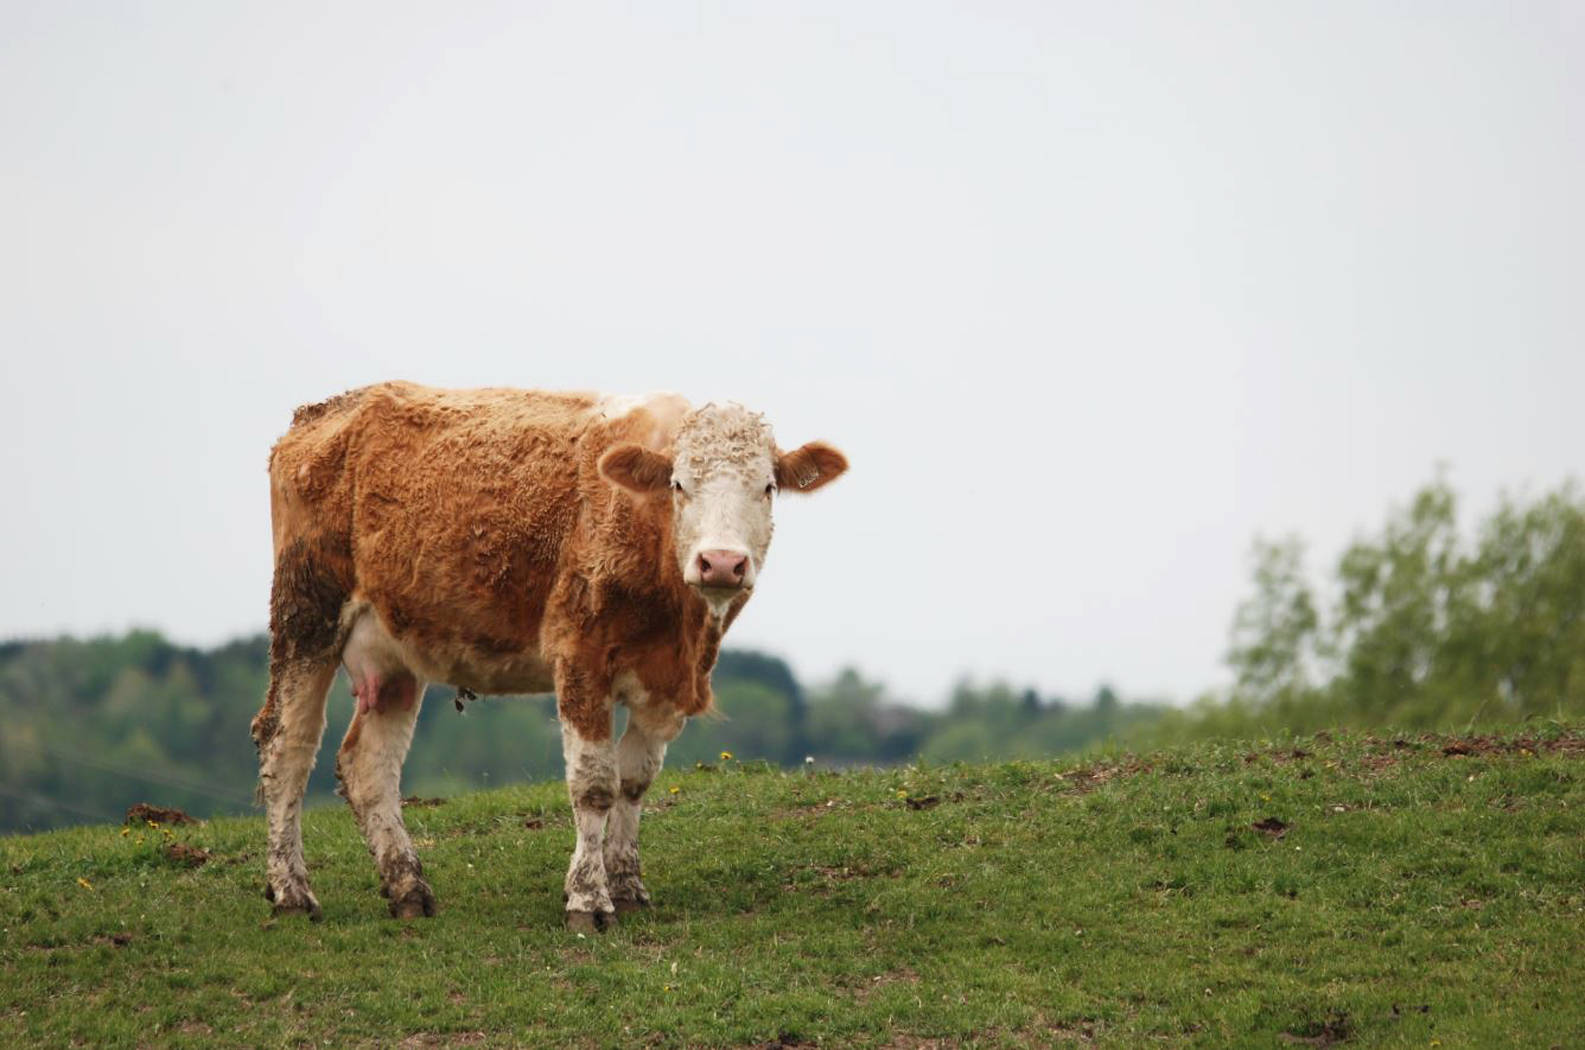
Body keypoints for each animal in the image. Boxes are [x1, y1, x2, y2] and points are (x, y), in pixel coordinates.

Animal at [249, 382, 847, 931]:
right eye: (679, 484)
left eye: (767, 487)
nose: (721, 562)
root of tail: (326, 410)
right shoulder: (580, 657)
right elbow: (595, 784)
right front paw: (588, 898)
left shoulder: (667, 683)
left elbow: (635, 779)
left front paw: (627, 884)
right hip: (307, 613)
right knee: (286, 745)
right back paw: (292, 890)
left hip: (394, 649)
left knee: (368, 764)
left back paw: (409, 888)